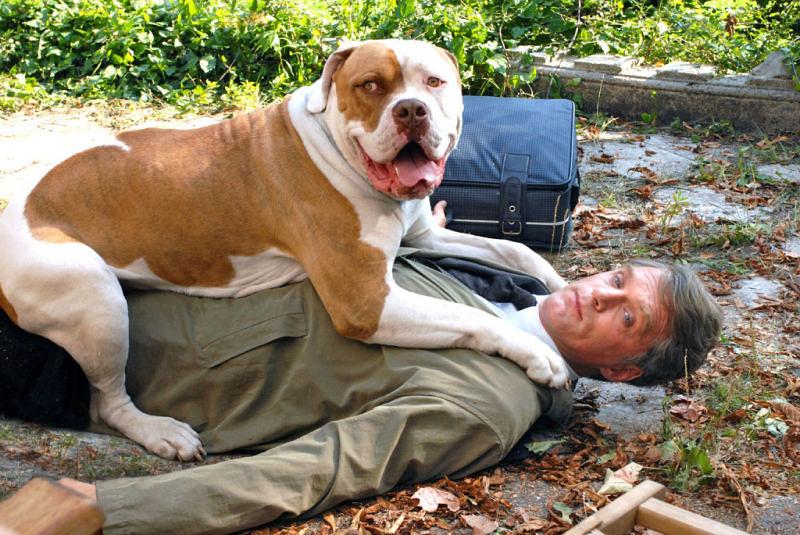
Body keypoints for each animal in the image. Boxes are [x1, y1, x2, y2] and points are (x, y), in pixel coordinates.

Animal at [0, 40, 568, 460]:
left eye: (434, 81)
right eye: (370, 85)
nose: (411, 110)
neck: (336, 145)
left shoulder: (425, 237)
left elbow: (520, 254)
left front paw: (564, 286)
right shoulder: (367, 303)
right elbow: (475, 317)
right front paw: (538, 353)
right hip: (93, 296)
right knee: (109, 401)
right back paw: (163, 432)